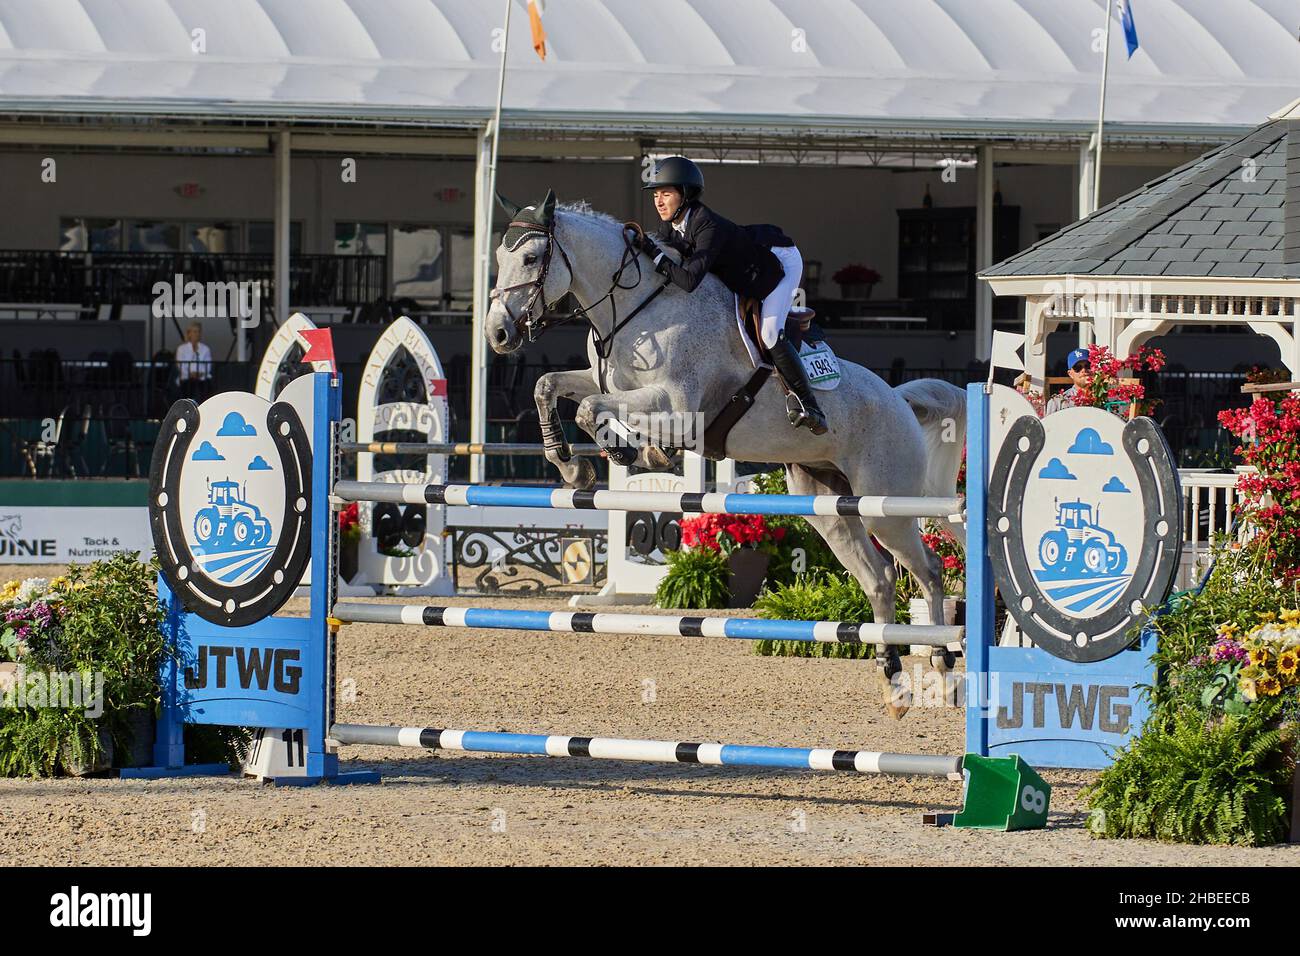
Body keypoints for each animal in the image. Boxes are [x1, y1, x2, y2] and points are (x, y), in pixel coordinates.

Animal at [488, 191, 967, 717]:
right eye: (498, 258)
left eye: (532, 258)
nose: (497, 334)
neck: (635, 307)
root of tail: (899, 400)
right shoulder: (609, 384)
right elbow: (548, 386)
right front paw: (574, 463)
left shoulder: (679, 408)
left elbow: (591, 409)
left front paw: (624, 452)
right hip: (828, 505)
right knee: (880, 578)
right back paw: (893, 684)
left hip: (886, 506)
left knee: (928, 570)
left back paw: (943, 670)